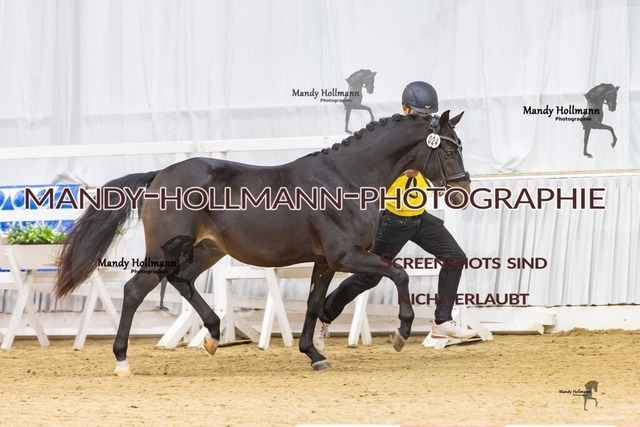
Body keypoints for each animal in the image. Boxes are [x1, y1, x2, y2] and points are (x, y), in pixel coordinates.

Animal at [54, 111, 470, 375]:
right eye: (449, 149)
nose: (463, 190)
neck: (345, 179)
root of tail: (160, 175)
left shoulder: (326, 261)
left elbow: (314, 303)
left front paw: (314, 354)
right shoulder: (346, 256)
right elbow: (399, 274)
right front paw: (401, 333)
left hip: (207, 250)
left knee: (182, 280)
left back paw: (214, 333)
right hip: (164, 251)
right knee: (134, 290)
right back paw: (123, 361)